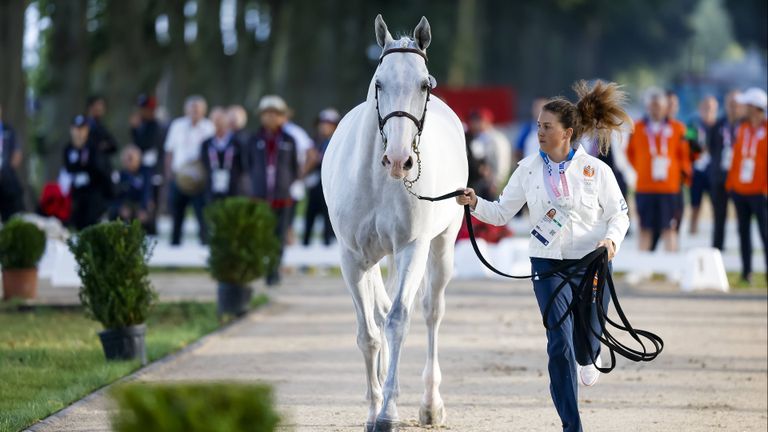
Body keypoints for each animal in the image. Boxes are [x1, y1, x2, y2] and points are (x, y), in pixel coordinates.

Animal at [320, 14, 464, 432]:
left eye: (424, 84)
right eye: (379, 83)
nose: (399, 160)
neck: (377, 180)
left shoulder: (412, 247)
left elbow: (399, 320)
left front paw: (388, 412)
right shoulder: (353, 258)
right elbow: (369, 332)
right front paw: (373, 407)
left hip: (441, 245)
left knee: (430, 311)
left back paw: (431, 405)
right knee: (381, 312)